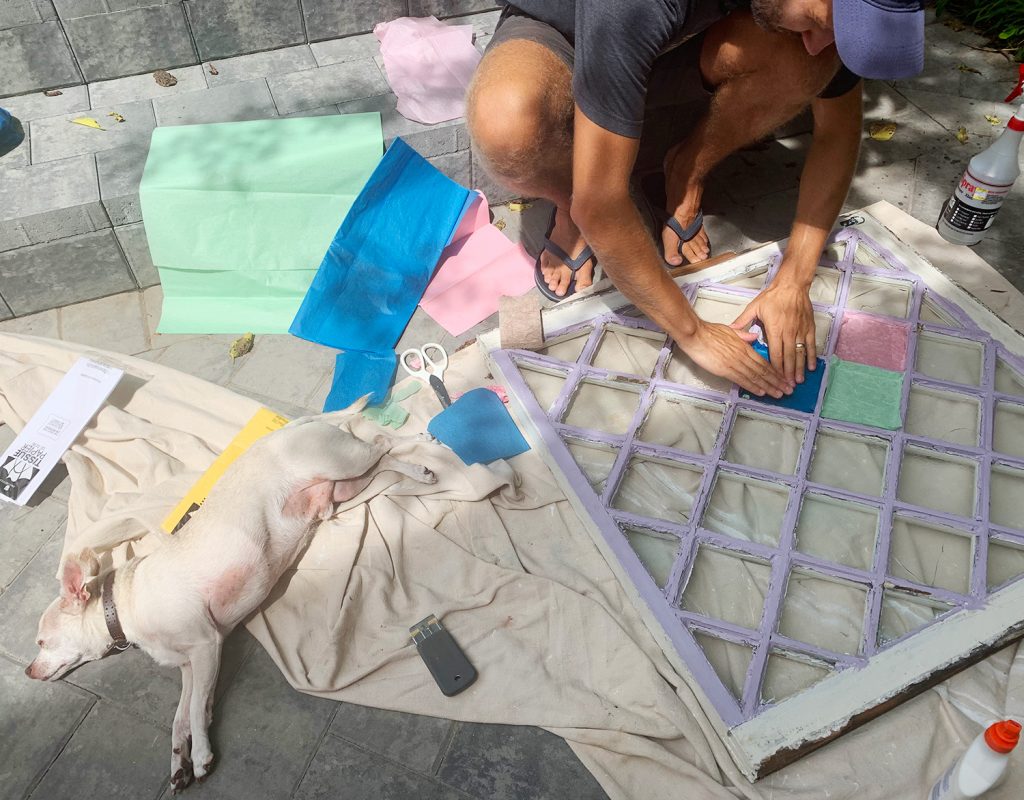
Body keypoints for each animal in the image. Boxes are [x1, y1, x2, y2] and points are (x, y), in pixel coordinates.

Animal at [24, 403, 432, 790]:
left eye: (42, 641)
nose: (28, 671)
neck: (125, 606)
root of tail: (292, 428)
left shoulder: (206, 645)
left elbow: (192, 712)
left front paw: (201, 756)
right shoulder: (191, 666)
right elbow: (182, 715)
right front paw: (179, 761)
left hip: (343, 462)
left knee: (381, 443)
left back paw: (421, 455)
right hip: (346, 486)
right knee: (382, 462)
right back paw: (414, 471)